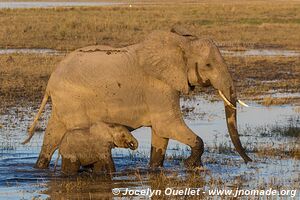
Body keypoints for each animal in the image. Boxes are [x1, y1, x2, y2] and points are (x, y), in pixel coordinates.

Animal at [24, 27, 251, 169]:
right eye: (208, 65)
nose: (249, 161)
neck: (181, 41)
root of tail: (50, 82)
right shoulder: (158, 85)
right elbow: (167, 124)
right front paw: (190, 165)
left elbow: (161, 134)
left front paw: (155, 169)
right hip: (73, 100)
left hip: (64, 103)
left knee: (52, 136)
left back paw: (39, 168)